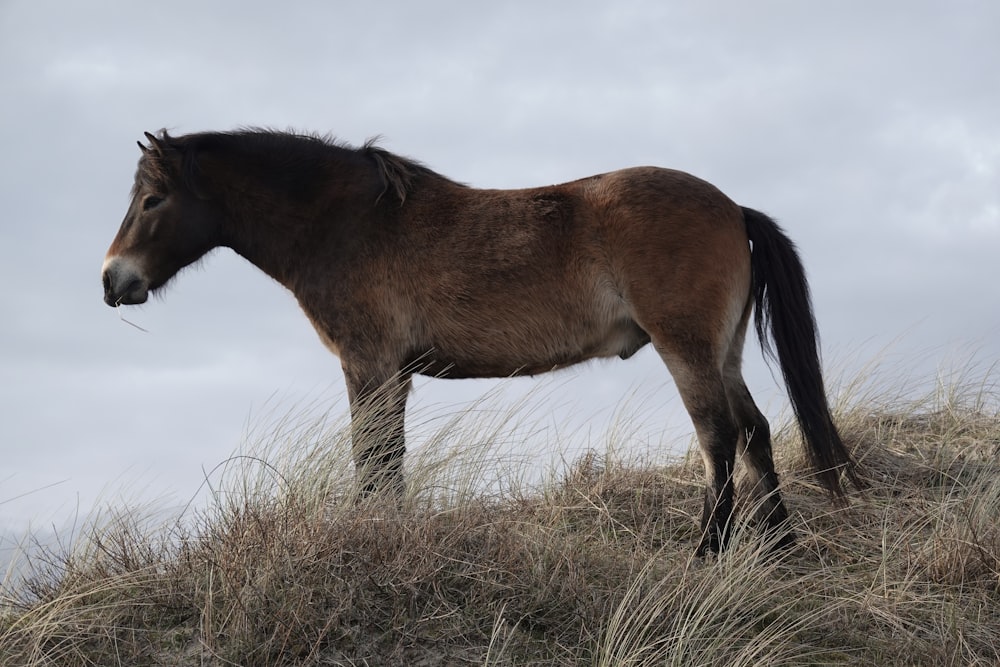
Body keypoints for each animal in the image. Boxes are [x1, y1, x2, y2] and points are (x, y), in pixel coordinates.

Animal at [103, 129, 860, 552]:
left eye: (153, 200)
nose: (114, 279)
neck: (348, 221)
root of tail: (733, 207)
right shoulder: (393, 371)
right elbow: (388, 459)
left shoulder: (369, 364)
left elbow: (371, 457)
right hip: (723, 351)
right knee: (756, 430)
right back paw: (782, 549)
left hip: (688, 349)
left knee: (718, 436)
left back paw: (707, 551)